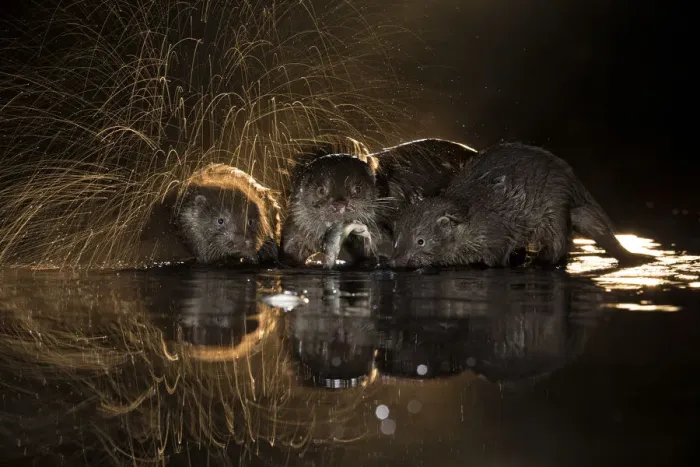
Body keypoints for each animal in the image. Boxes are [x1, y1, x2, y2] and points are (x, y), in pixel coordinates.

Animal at [391, 142, 654, 268]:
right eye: (396, 240)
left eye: (421, 241)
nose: (395, 261)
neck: (474, 221)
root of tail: (573, 183)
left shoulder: (495, 234)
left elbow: (497, 256)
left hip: (555, 206)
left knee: (559, 244)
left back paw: (537, 261)